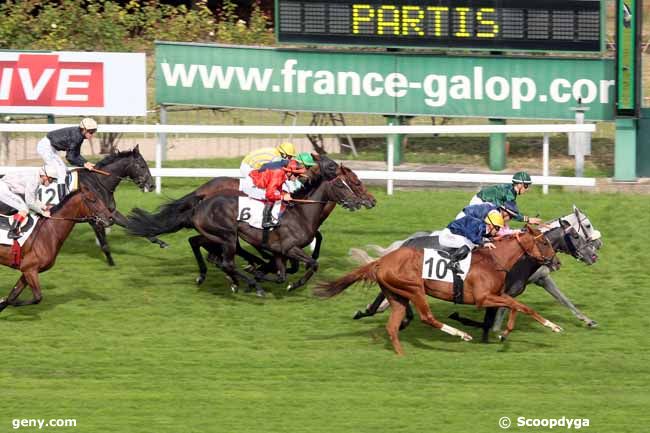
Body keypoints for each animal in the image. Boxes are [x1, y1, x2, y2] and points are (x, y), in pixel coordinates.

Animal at [314, 226, 556, 354]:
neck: (493, 259)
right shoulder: (483, 298)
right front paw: (505, 332)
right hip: (414, 289)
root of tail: (381, 262)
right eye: (544, 242)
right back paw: (461, 334)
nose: (555, 261)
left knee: (393, 325)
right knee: (426, 317)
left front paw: (549, 326)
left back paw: (400, 354)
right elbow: (515, 305)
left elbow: (521, 306)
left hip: (398, 296)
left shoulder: (498, 295)